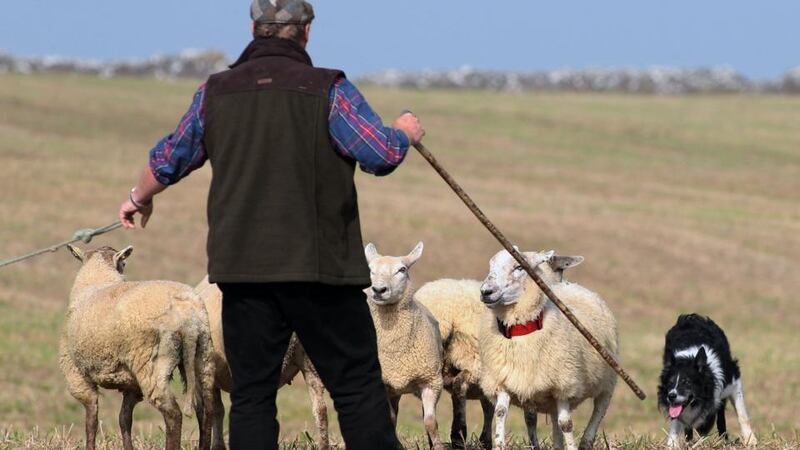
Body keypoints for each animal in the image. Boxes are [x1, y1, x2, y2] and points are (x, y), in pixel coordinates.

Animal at [61, 246, 216, 450]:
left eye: (124, 263)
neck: (97, 279)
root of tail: (186, 312)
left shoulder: (76, 374)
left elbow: (91, 418)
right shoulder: (131, 383)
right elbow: (124, 419)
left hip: (152, 363)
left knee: (173, 413)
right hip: (203, 354)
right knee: (206, 410)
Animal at [366, 243, 446, 450]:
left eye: (402, 270)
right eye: (371, 270)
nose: (379, 290)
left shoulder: (431, 381)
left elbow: (430, 422)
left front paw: (438, 446)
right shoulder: (384, 384)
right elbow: (390, 419)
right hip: (393, 390)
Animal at [416, 251, 584, 448]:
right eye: (560, 270)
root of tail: (441, 312)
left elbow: (489, 408)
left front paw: (486, 440)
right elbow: (529, 416)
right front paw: (532, 443)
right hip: (470, 358)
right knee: (459, 387)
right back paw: (458, 434)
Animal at [476, 250, 620, 450]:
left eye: (519, 267)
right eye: (491, 265)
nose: (486, 291)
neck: (521, 330)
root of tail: (572, 286)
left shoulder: (563, 386)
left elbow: (566, 424)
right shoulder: (504, 380)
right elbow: (501, 412)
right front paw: (499, 444)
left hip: (607, 379)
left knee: (599, 409)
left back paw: (586, 441)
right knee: (554, 420)